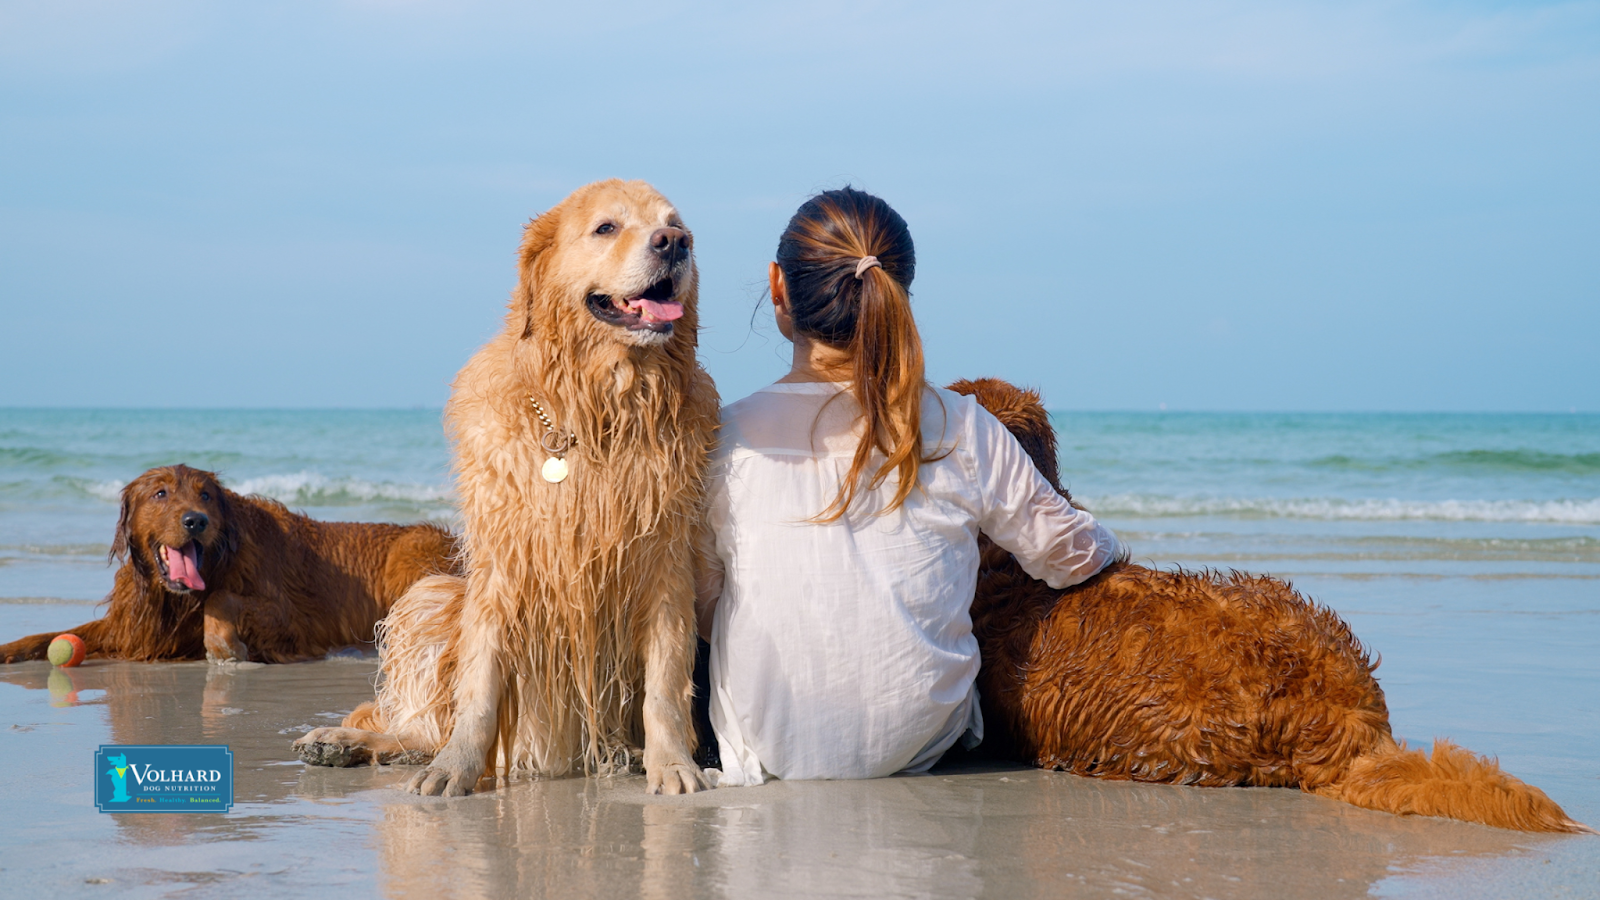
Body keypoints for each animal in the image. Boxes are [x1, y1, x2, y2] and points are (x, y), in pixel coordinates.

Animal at [0, 464, 460, 662]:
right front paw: (11, 649)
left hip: (412, 554)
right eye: (161, 493)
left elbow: (220, 599)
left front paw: (226, 646)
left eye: (205, 495)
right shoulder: (129, 626)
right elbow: (57, 633)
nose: (195, 521)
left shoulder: (290, 619)